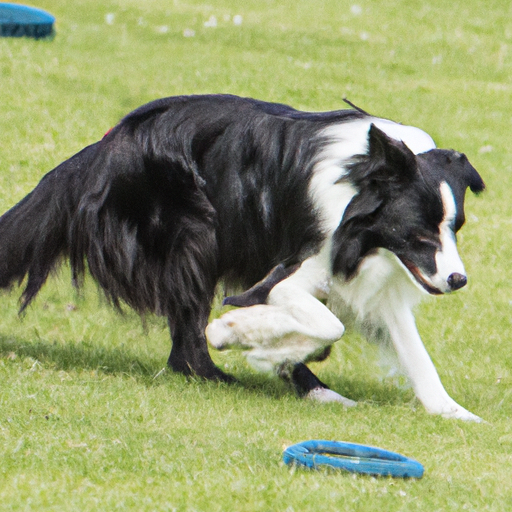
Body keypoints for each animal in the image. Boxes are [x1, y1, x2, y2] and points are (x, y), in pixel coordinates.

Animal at [1, 95, 484, 420]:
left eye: (455, 229)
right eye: (419, 233)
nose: (458, 280)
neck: (360, 181)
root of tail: (105, 148)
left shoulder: (362, 279)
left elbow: (411, 351)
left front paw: (453, 412)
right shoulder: (296, 268)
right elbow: (328, 324)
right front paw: (243, 335)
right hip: (196, 234)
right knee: (186, 339)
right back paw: (219, 372)